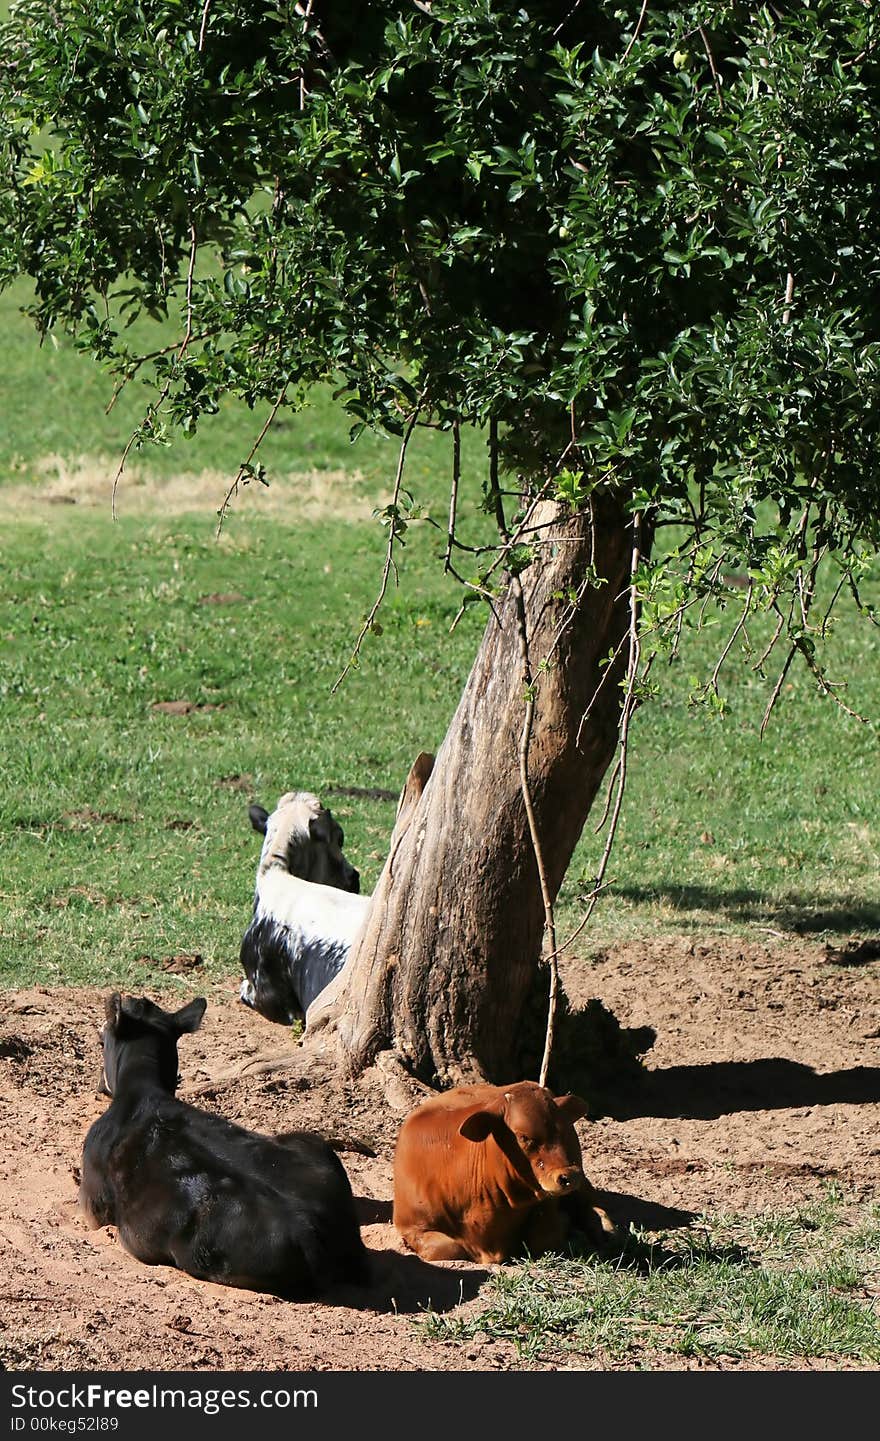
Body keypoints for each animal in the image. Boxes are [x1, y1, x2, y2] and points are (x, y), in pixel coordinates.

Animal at [81, 997, 368, 1302]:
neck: (142, 1090)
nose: (99, 1087)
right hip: (313, 1143)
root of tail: (311, 1228)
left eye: (100, 1039)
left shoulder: (92, 1203)